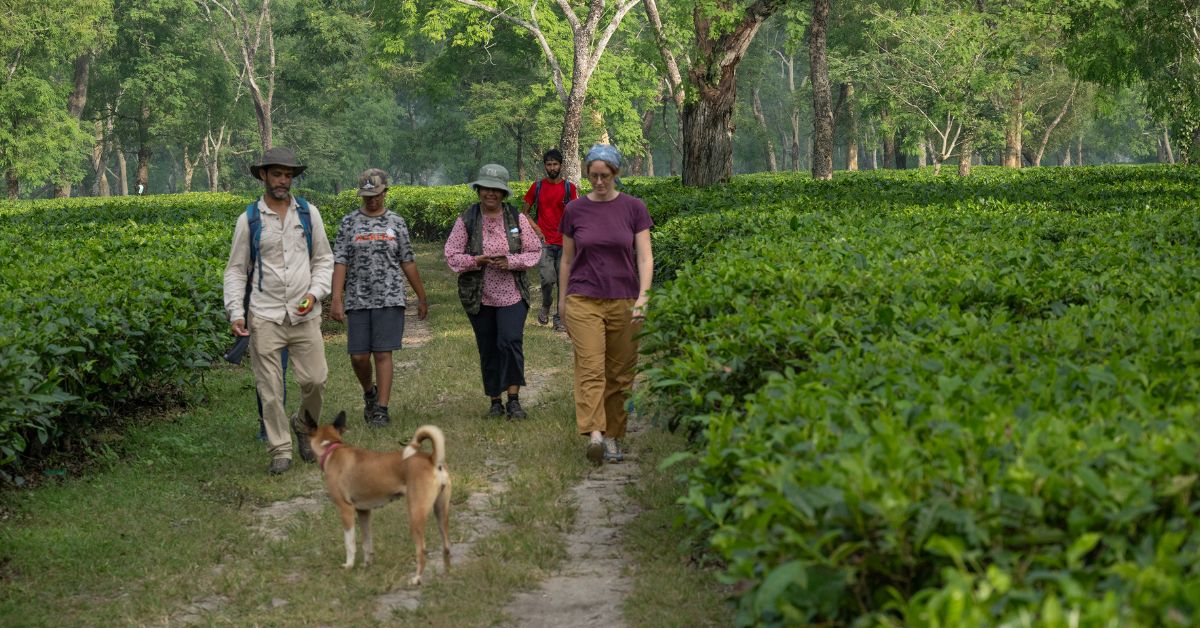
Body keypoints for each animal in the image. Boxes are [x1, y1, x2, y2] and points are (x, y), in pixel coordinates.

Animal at [297, 410, 451, 588]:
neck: (331, 449)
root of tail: (432, 459)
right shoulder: (364, 512)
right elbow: (366, 542)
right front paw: (367, 564)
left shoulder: (346, 510)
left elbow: (350, 543)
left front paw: (349, 565)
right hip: (441, 512)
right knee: (447, 546)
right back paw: (446, 575)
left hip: (415, 514)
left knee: (422, 551)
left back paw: (416, 579)